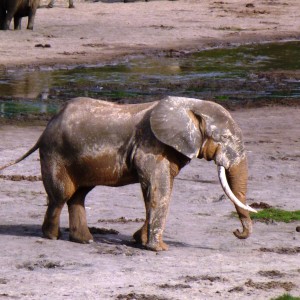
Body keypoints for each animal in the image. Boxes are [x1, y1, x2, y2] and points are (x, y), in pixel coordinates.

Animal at [0, 96, 258, 251]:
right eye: (224, 138)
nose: (236, 232)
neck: (190, 105)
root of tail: (45, 129)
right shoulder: (151, 146)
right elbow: (158, 189)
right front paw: (159, 249)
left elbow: (157, 190)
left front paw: (139, 241)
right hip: (55, 152)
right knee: (61, 196)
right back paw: (52, 237)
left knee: (79, 195)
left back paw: (85, 240)